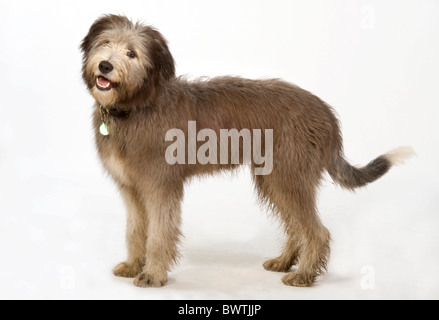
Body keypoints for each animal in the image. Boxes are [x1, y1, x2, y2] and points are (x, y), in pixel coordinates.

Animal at [81, 13, 414, 288]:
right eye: (106, 42)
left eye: (132, 53)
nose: (105, 65)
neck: (136, 106)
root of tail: (327, 113)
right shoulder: (131, 189)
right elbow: (136, 230)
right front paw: (133, 266)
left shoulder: (160, 187)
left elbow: (159, 233)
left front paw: (152, 274)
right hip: (275, 180)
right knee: (296, 226)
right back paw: (285, 261)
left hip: (288, 177)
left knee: (316, 231)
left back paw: (304, 274)